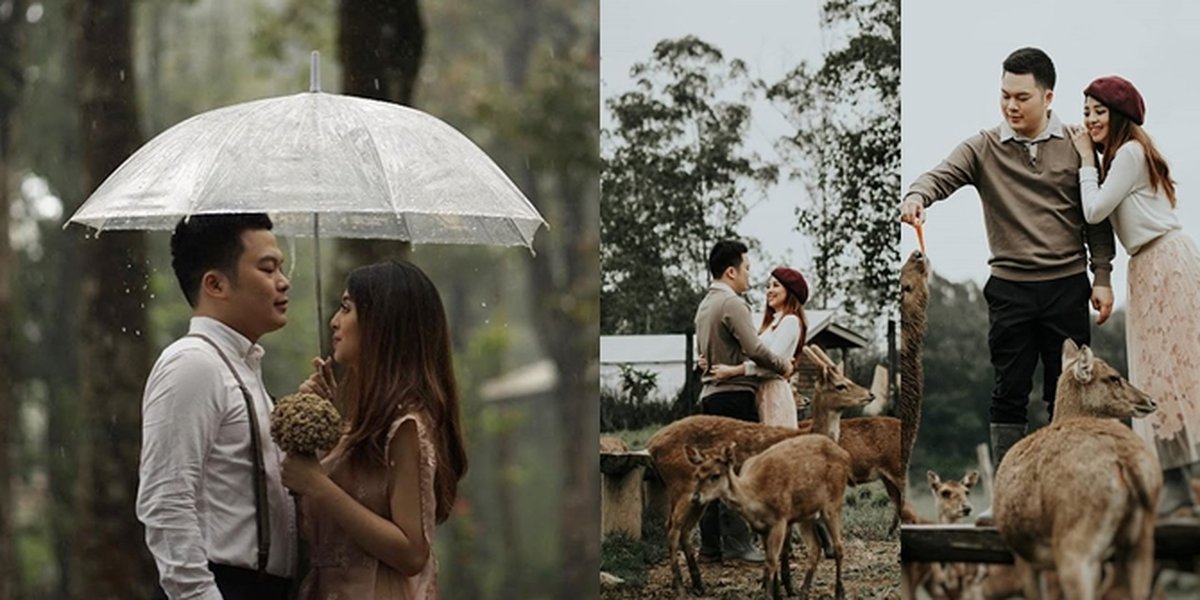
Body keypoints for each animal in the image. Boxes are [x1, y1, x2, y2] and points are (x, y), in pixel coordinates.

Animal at [652, 345, 878, 597]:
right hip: (681, 486)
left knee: (685, 531)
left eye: (848, 379)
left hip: (696, 496)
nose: (870, 395)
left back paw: (699, 584)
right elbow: (782, 548)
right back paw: (679, 586)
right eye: (841, 385)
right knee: (672, 528)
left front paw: (783, 585)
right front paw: (784, 586)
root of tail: (652, 445)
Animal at [988, 343, 1156, 600]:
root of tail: (1127, 460)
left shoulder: (1023, 558)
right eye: (1114, 377)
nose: (1150, 401)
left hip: (1075, 549)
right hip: (1140, 545)